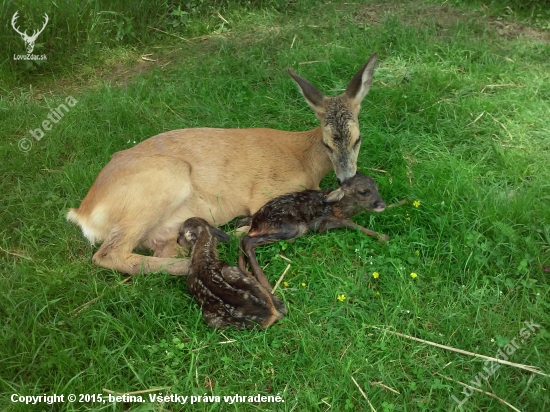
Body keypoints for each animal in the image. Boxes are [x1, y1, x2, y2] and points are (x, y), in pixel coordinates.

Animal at [68, 53, 380, 276]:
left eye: (358, 139)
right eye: (327, 144)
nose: (346, 178)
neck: (304, 160)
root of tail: (82, 214)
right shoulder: (266, 194)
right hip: (164, 181)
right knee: (108, 254)